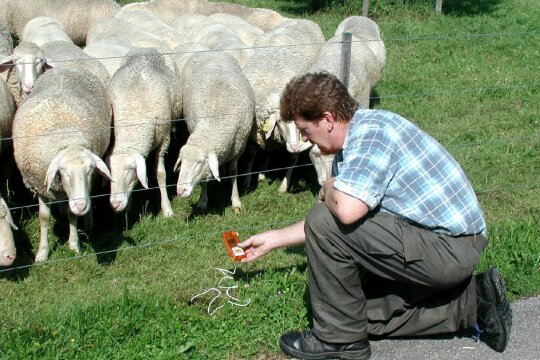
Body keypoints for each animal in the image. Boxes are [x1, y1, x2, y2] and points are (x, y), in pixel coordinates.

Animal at [12, 66, 112, 262]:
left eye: (90, 169)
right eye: (64, 171)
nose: (81, 206)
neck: (65, 138)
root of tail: (67, 67)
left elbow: (72, 214)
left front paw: (74, 244)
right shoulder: (39, 185)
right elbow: (44, 217)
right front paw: (42, 252)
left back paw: (88, 220)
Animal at [107, 47, 181, 217]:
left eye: (130, 170)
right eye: (110, 173)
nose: (115, 204)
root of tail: (146, 48)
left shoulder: (164, 139)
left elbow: (160, 174)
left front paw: (167, 209)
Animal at [175, 52, 255, 212]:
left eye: (199, 162)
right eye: (182, 160)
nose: (180, 191)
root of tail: (210, 52)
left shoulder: (238, 147)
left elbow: (233, 172)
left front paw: (236, 202)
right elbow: (205, 179)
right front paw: (202, 201)